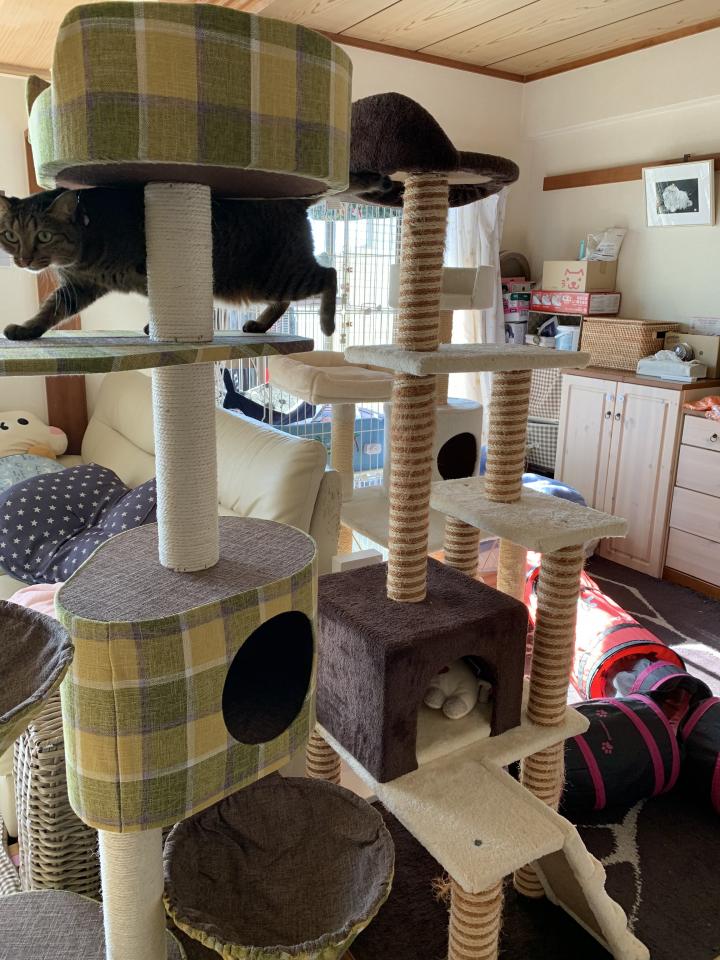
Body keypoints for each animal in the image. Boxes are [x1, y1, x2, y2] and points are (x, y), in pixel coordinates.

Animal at [0, 172, 391, 341]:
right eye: (9, 236)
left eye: (43, 236)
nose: (22, 260)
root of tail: (290, 201)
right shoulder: (77, 287)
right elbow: (49, 312)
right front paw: (26, 330)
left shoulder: (150, 273)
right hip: (260, 282)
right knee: (287, 299)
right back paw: (259, 325)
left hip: (274, 275)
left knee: (331, 273)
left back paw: (327, 325)